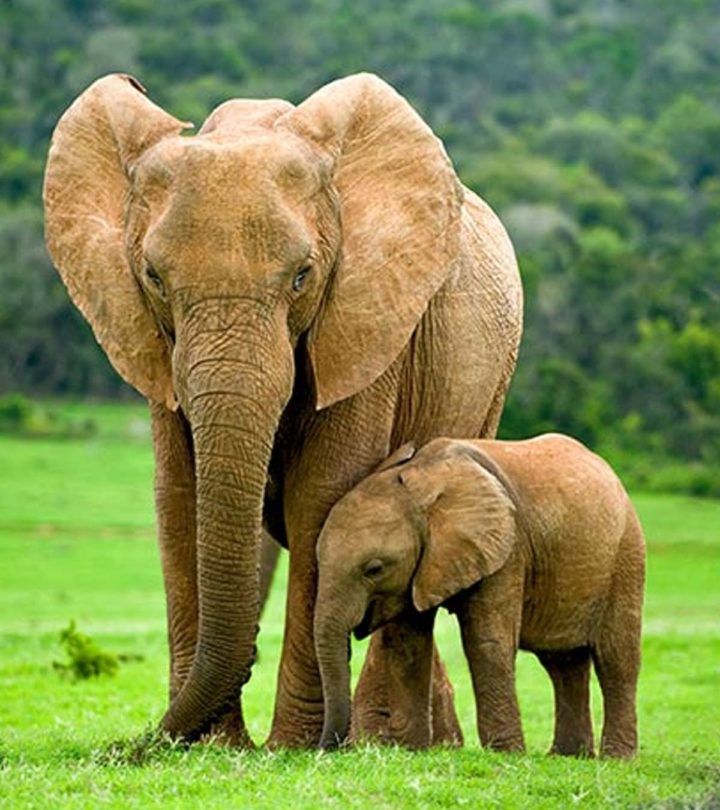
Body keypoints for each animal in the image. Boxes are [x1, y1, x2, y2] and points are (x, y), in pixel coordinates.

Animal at [42, 71, 520, 744]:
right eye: (154, 278)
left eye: (302, 276)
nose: (136, 747)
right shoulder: (154, 344)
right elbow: (179, 494)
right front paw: (214, 746)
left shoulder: (366, 319)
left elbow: (322, 493)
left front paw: (291, 748)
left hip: (490, 381)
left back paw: (389, 741)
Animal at [316, 436, 648, 756]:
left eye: (374, 569)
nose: (325, 749)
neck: (422, 483)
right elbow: (407, 644)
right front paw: (412, 750)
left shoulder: (507, 549)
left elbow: (487, 641)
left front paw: (506, 754)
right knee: (562, 662)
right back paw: (568, 756)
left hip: (626, 555)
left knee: (616, 657)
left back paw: (616, 757)